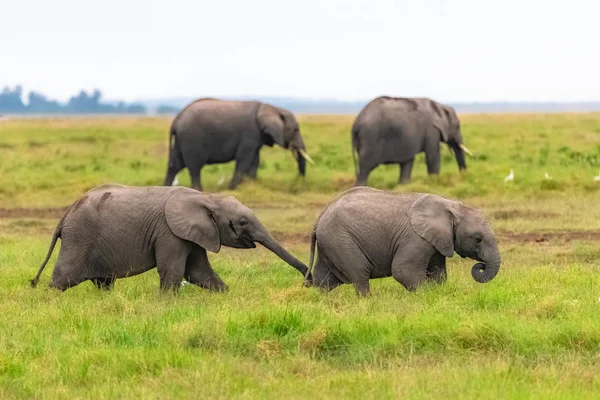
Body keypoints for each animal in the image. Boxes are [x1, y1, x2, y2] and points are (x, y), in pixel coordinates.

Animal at [29, 185, 308, 294]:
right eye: (241, 222)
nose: (307, 278)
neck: (206, 197)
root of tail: (65, 215)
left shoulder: (192, 234)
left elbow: (200, 272)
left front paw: (226, 295)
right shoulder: (169, 232)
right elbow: (174, 271)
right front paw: (166, 304)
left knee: (103, 281)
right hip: (79, 238)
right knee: (63, 278)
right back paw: (49, 300)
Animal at [162, 97, 316, 190]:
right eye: (296, 129)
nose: (297, 183)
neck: (272, 108)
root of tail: (176, 120)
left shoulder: (256, 137)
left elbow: (255, 161)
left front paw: (252, 185)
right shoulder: (250, 133)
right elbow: (244, 160)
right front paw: (233, 188)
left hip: (181, 141)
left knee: (175, 165)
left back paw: (165, 189)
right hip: (191, 139)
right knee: (194, 167)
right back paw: (197, 191)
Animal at [302, 186, 500, 296]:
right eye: (477, 239)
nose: (480, 266)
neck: (451, 206)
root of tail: (320, 216)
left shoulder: (436, 241)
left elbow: (438, 273)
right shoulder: (416, 239)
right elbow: (403, 271)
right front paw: (426, 297)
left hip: (331, 242)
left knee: (324, 280)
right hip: (341, 240)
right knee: (360, 273)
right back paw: (367, 303)